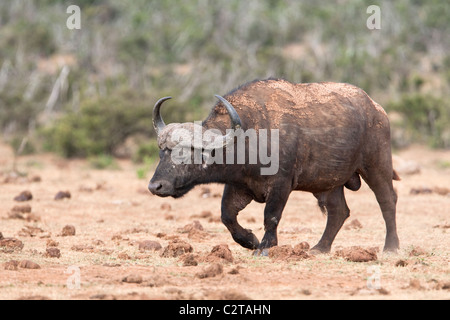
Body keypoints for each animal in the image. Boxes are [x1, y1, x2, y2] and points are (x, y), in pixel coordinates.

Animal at [149, 78, 400, 255]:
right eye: (162, 152)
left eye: (185, 153)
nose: (155, 186)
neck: (248, 136)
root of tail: (377, 109)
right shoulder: (239, 185)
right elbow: (227, 215)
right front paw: (250, 240)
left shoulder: (281, 185)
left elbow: (271, 216)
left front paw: (265, 247)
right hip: (329, 182)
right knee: (339, 211)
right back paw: (320, 248)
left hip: (376, 165)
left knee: (387, 200)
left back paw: (391, 247)